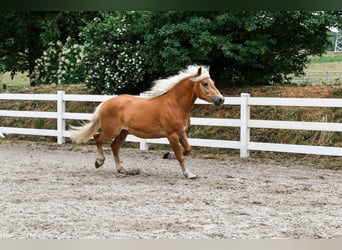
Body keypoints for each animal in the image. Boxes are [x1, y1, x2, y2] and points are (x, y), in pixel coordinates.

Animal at [69, 64, 224, 178]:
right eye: (205, 84)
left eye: (213, 82)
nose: (221, 99)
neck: (175, 104)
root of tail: (105, 103)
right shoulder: (172, 135)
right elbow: (180, 155)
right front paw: (188, 174)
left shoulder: (181, 132)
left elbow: (187, 149)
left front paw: (167, 155)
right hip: (111, 131)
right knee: (97, 138)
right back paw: (99, 162)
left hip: (123, 132)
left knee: (114, 146)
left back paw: (122, 170)